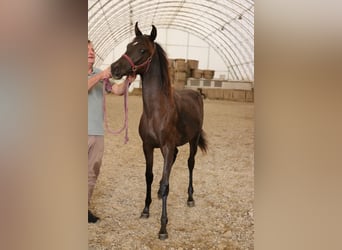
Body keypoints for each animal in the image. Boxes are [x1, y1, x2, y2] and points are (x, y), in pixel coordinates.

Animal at [111, 22, 207, 239]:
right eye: (128, 45)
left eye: (142, 50)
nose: (114, 68)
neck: (157, 111)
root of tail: (196, 93)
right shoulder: (148, 146)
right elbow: (150, 176)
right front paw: (146, 209)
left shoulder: (167, 146)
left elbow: (165, 185)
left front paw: (163, 227)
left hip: (193, 140)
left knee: (190, 164)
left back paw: (190, 198)